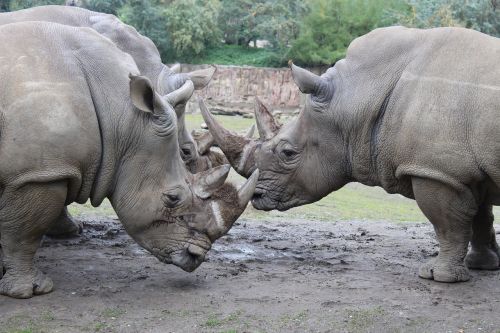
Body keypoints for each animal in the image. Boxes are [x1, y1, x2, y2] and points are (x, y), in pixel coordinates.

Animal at [202, 26, 500, 282]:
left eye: (287, 152)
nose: (257, 196)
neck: (359, 94)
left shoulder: (437, 171)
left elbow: (448, 222)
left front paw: (438, 276)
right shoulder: (464, 170)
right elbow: (480, 217)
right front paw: (482, 265)